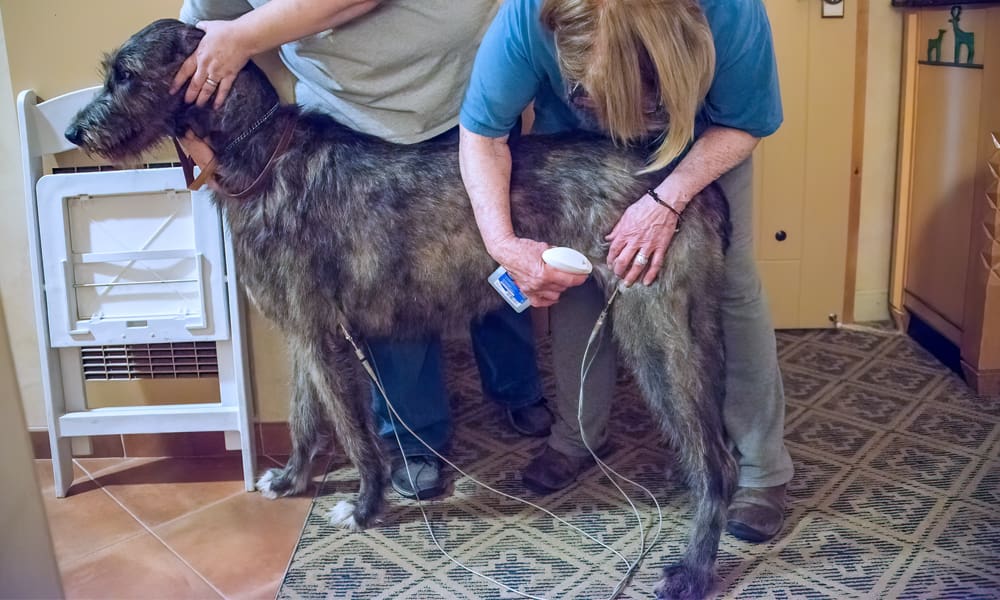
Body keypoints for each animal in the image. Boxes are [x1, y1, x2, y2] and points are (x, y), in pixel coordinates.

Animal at [64, 19, 736, 600]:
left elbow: (355, 435)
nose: (74, 132)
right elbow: (305, 417)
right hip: (690, 329)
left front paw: (365, 508)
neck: (264, 155)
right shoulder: (301, 331)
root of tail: (682, 182)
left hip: (652, 331)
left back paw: (693, 569)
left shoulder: (325, 336)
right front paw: (291, 479)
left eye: (125, 74)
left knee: (718, 462)